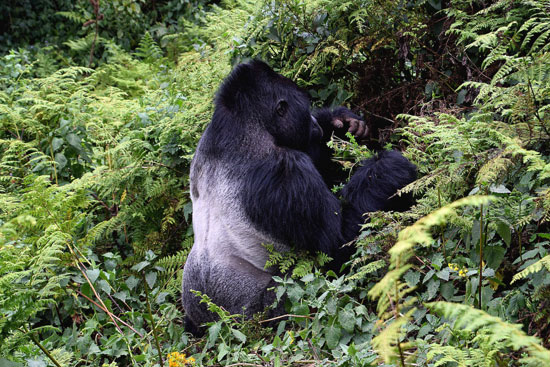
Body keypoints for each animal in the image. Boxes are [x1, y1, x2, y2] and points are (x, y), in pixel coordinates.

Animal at [182, 59, 418, 336]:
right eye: (304, 109)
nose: (315, 122)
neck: (243, 125)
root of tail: (208, 321)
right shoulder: (285, 171)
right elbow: (337, 246)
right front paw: (389, 169)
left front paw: (341, 121)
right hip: (258, 317)